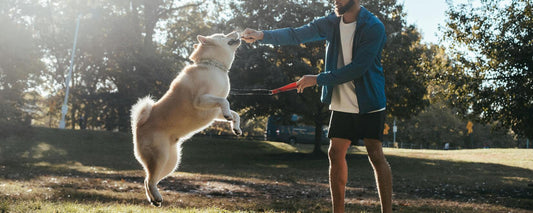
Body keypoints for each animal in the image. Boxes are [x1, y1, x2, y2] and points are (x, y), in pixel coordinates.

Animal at [130, 31, 241, 206]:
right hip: (161, 156)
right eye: (223, 35)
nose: (236, 31)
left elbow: (234, 112)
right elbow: (225, 101)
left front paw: (235, 126)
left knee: (148, 180)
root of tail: (138, 126)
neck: (214, 66)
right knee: (149, 180)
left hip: (171, 162)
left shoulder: (215, 110)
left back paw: (154, 199)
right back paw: (157, 197)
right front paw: (229, 116)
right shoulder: (201, 99)